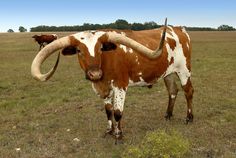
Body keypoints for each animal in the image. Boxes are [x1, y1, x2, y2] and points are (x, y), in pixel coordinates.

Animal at [30, 19, 194, 142]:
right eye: (78, 50)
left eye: (101, 48)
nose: (95, 74)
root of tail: (179, 29)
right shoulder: (102, 88)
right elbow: (108, 111)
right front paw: (109, 130)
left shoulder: (120, 85)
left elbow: (117, 112)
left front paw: (118, 135)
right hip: (168, 73)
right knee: (173, 91)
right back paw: (168, 115)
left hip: (184, 70)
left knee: (188, 91)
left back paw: (189, 118)